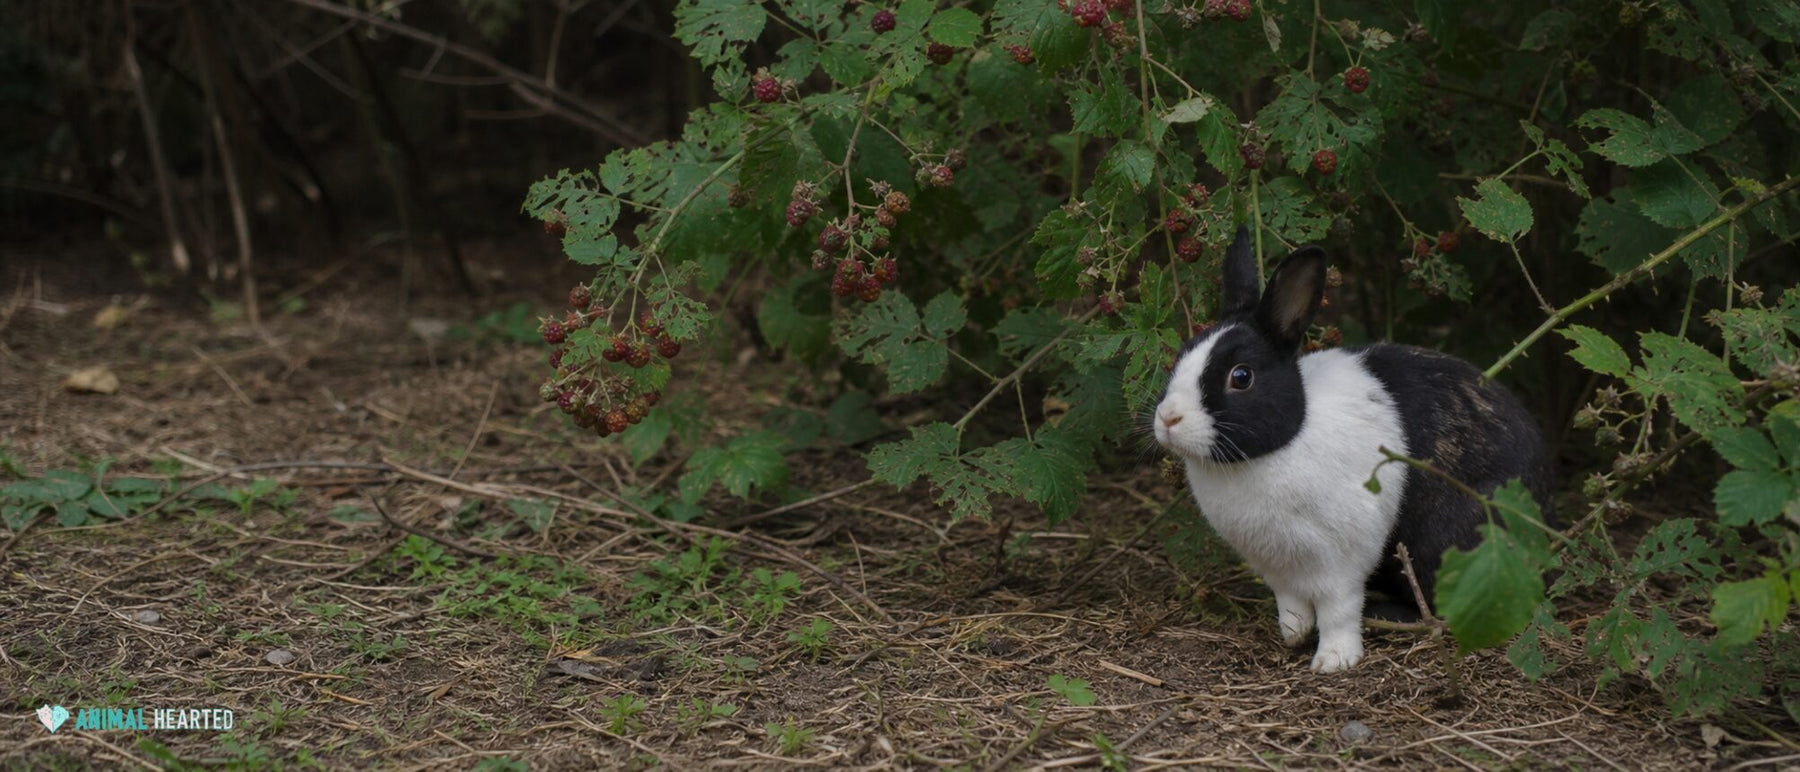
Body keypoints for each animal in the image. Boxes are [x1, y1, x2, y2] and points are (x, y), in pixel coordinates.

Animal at [1152, 226, 1553, 672]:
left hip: (1449, 548)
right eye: (1182, 354)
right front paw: (1293, 637)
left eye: (1241, 377)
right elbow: (1292, 608)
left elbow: (1338, 612)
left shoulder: (1341, 564)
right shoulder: (1279, 573)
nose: (1168, 419)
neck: (1278, 446)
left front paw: (1333, 660)